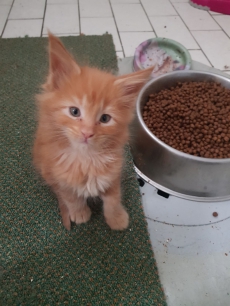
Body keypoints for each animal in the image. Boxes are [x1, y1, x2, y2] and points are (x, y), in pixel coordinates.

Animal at [33, 32, 153, 230]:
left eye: (104, 119)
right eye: (75, 112)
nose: (87, 133)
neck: (86, 160)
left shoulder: (113, 172)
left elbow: (113, 198)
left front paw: (117, 218)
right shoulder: (59, 175)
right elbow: (70, 197)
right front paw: (80, 213)